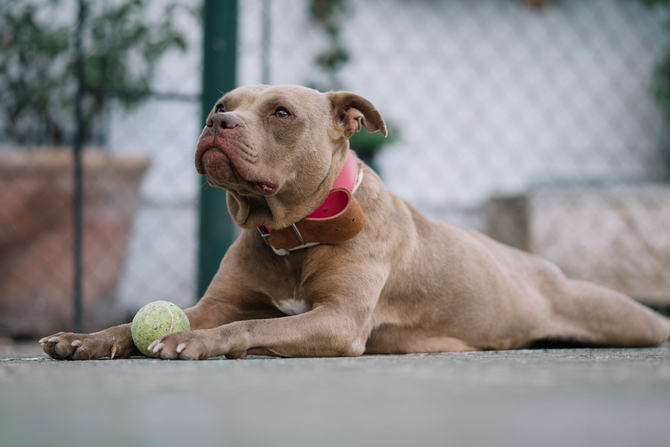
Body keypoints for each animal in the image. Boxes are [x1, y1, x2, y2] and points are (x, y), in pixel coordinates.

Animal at [40, 86, 670, 362]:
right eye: (222, 103)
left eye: (281, 112)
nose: (216, 121)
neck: (293, 233)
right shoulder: (217, 302)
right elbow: (133, 325)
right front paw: (84, 339)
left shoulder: (339, 320)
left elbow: (250, 326)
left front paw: (192, 342)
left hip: (621, 317)